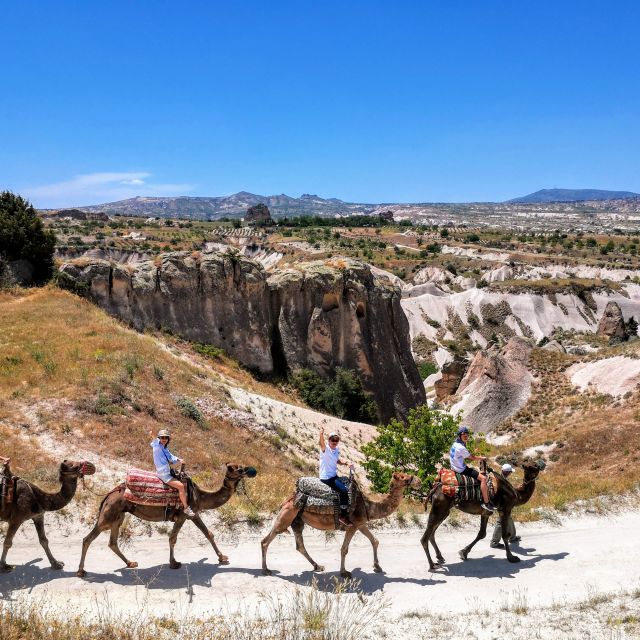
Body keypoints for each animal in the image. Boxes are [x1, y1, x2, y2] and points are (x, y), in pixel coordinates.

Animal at [77, 463, 257, 577]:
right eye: (238, 468)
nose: (251, 470)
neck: (199, 495)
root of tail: (109, 494)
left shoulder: (194, 513)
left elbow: (208, 533)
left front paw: (222, 557)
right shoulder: (184, 515)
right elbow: (173, 538)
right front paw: (174, 563)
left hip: (118, 516)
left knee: (112, 542)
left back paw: (130, 563)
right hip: (108, 514)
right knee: (88, 538)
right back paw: (81, 571)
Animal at [261, 472, 421, 577]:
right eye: (403, 477)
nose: (418, 480)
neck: (368, 506)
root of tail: (289, 498)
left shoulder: (360, 524)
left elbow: (375, 541)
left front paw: (377, 567)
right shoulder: (354, 525)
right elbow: (344, 549)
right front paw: (344, 572)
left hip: (297, 520)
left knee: (299, 545)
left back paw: (318, 566)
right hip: (286, 515)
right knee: (266, 540)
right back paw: (266, 570)